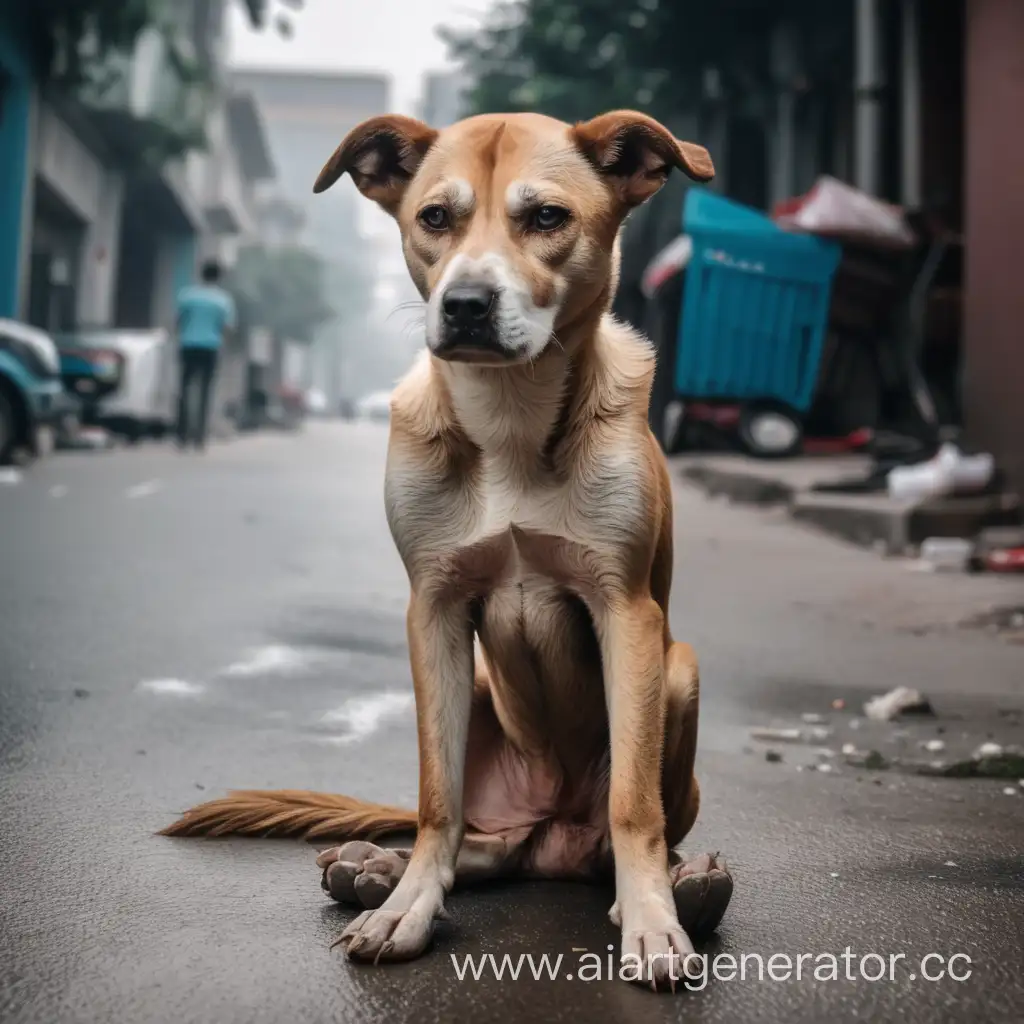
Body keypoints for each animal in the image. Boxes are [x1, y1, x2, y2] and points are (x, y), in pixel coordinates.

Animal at [163, 108, 733, 987]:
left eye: (547, 217)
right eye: (435, 217)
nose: (465, 304)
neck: (508, 415)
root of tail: (553, 842)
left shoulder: (627, 611)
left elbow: (635, 804)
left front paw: (652, 922)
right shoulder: (432, 608)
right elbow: (439, 799)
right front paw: (409, 906)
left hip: (676, 670)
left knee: (627, 833)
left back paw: (691, 888)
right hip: (481, 701)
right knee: (484, 841)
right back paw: (375, 869)